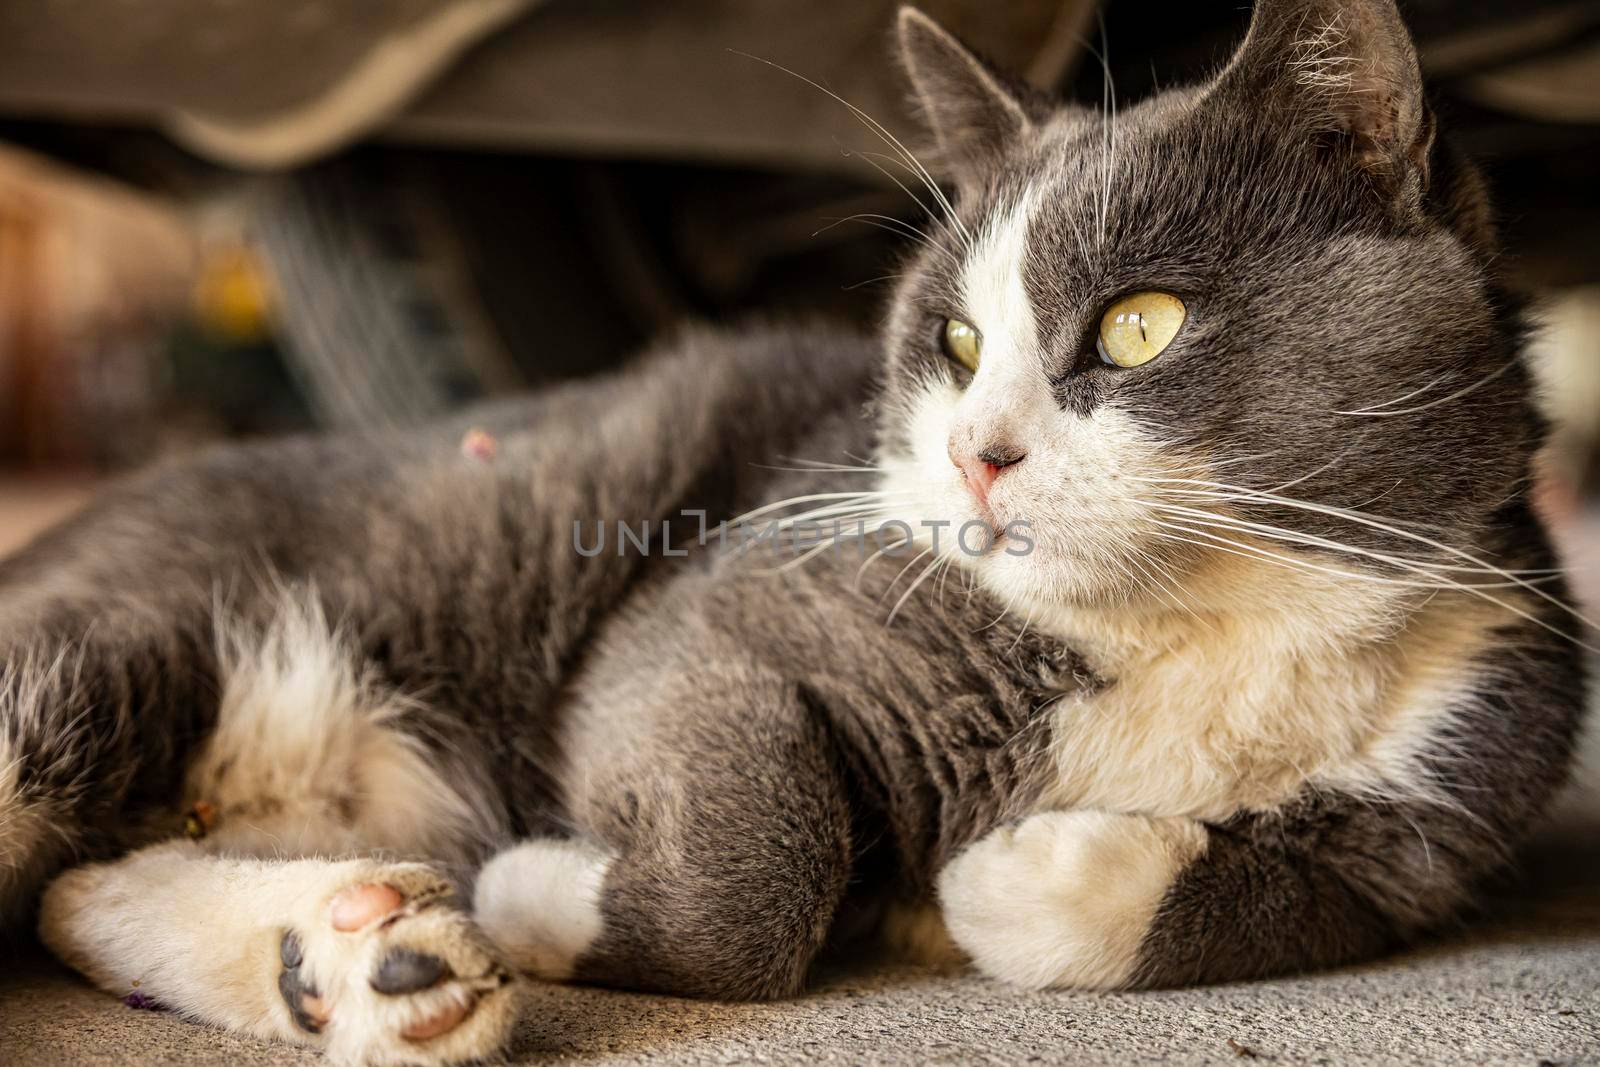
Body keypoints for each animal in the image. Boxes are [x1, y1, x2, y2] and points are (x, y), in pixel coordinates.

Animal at [0, 0, 1587, 1062]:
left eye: (1141, 323)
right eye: (955, 342)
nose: (975, 454)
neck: (1204, 620)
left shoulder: (1461, 774)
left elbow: (1293, 894)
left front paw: (1016, 879)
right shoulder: (728, 604)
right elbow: (756, 855)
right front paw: (535, 887)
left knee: (65, 889)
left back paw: (356, 955)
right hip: (135, 634)